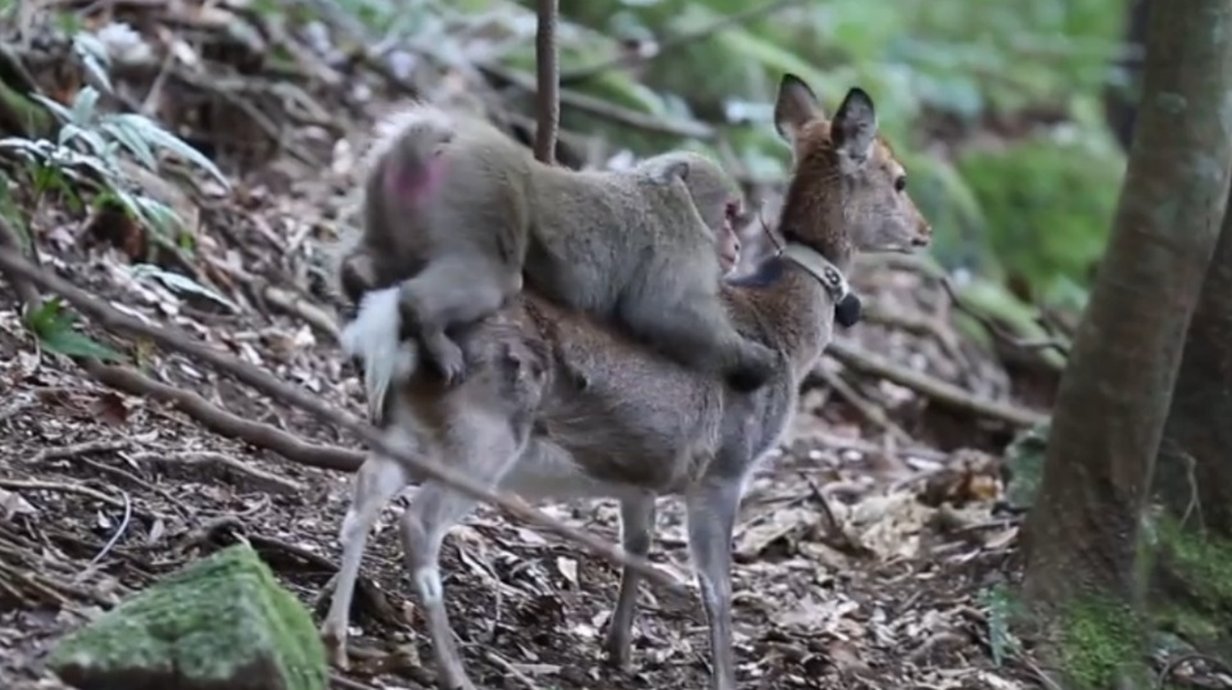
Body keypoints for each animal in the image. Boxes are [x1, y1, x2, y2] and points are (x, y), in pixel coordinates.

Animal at [337, 106, 773, 394]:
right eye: (730, 213)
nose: (736, 244)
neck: (673, 194)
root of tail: (446, 138)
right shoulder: (681, 241)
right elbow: (663, 313)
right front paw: (751, 360)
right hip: (483, 191)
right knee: (495, 280)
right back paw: (426, 322)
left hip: (386, 193)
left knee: (376, 259)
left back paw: (358, 278)